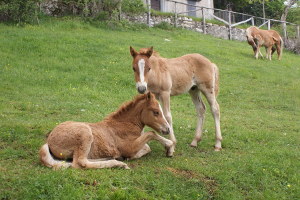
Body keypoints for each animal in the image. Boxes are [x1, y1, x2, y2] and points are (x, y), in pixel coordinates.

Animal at [38, 93, 172, 170]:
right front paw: (169, 147)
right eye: (156, 112)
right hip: (85, 133)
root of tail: (49, 140)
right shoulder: (128, 147)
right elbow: (151, 134)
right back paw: (118, 163)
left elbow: (147, 147)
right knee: (80, 163)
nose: (167, 129)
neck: (124, 125)